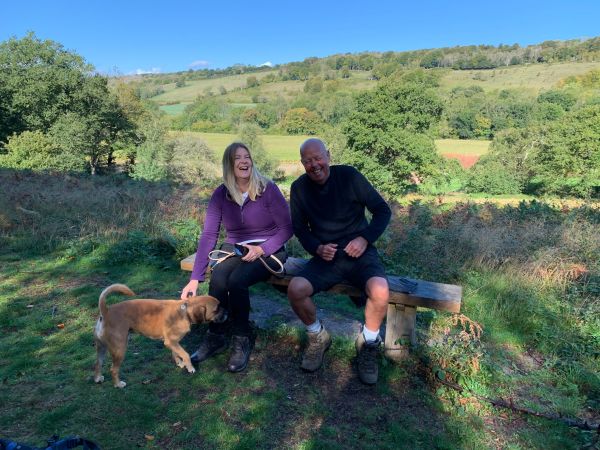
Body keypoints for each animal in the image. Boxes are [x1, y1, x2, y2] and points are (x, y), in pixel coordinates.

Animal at [92, 284, 224, 386]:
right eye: (216, 309)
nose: (227, 313)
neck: (184, 311)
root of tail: (106, 312)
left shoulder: (172, 343)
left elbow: (176, 354)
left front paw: (180, 363)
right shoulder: (171, 342)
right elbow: (185, 354)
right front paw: (190, 367)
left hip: (102, 348)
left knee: (98, 364)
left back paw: (98, 378)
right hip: (120, 349)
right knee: (113, 370)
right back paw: (118, 384)